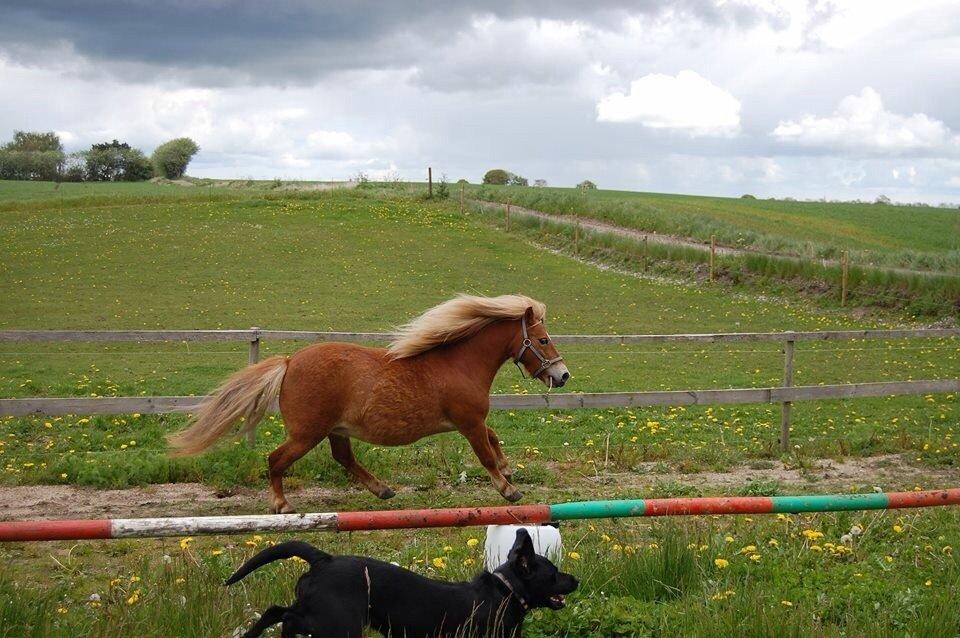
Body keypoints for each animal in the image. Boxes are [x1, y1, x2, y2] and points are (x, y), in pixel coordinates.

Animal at [168, 296, 568, 516]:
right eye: (542, 339)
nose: (563, 375)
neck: (458, 363)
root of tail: (289, 361)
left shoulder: (469, 421)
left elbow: (495, 438)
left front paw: (509, 470)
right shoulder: (468, 422)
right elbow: (485, 453)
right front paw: (508, 489)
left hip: (335, 430)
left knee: (343, 458)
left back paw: (382, 490)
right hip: (307, 433)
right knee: (276, 460)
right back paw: (282, 505)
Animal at [227, 528, 576, 638]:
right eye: (554, 573)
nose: (576, 579)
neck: (505, 592)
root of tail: (323, 559)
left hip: (320, 613)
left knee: (276, 611)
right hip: (338, 625)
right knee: (286, 616)